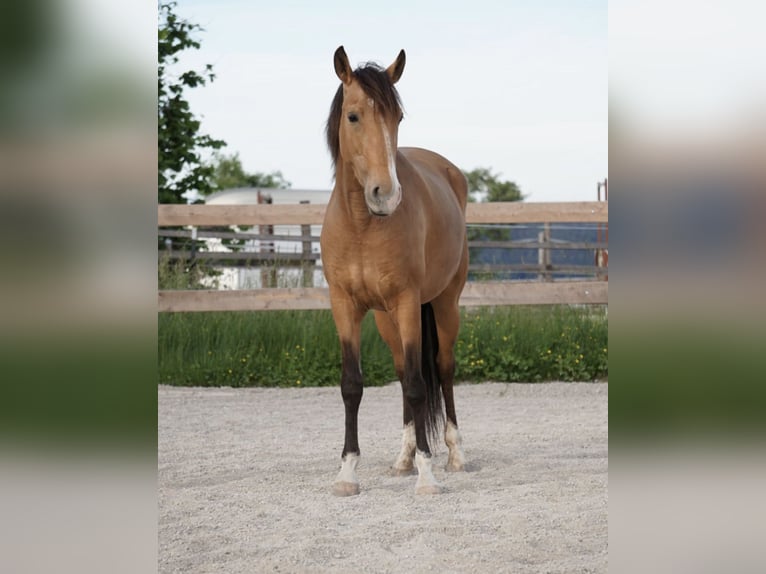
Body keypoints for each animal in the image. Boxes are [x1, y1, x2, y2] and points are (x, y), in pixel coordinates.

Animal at [320, 46, 469, 496]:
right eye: (353, 116)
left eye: (397, 117)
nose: (385, 194)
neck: (363, 225)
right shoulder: (344, 306)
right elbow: (353, 385)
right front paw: (347, 473)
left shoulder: (407, 302)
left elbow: (420, 386)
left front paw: (427, 474)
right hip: (387, 319)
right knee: (405, 370)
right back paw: (403, 458)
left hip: (444, 305)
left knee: (442, 368)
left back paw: (454, 454)